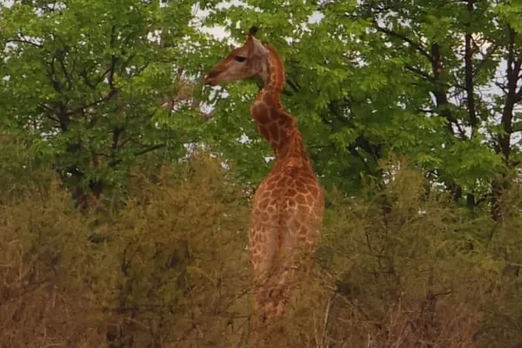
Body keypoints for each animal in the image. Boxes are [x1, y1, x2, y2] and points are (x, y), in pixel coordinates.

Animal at [202, 26, 320, 324]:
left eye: (240, 56)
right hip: (292, 253)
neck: (288, 150)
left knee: (260, 301)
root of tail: (281, 208)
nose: (210, 75)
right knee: (275, 303)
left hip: (260, 246)